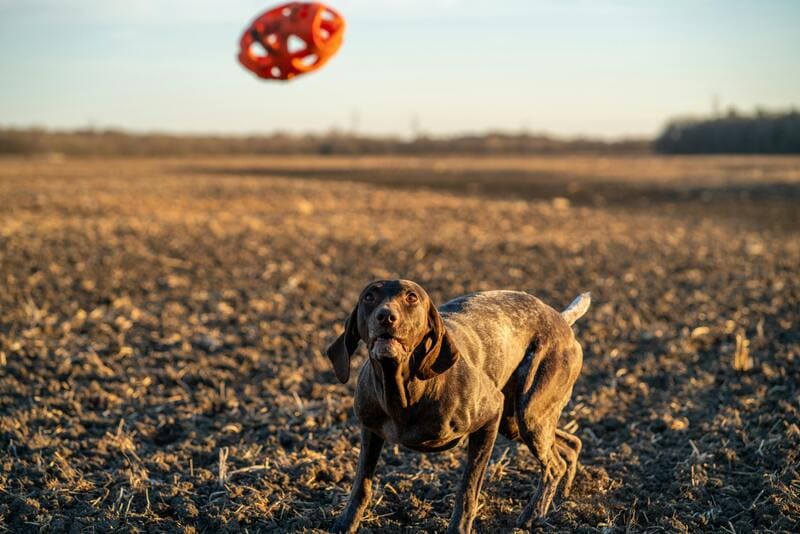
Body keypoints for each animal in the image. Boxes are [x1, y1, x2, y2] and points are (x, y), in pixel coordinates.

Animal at [324, 282, 588, 532]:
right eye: (369, 296)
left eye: (412, 297)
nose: (386, 316)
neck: (403, 391)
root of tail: (560, 318)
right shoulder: (370, 431)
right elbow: (361, 486)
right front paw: (345, 525)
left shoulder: (490, 417)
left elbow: (467, 490)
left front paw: (458, 528)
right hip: (515, 422)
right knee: (570, 445)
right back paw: (564, 492)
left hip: (528, 415)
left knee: (553, 466)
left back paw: (533, 515)